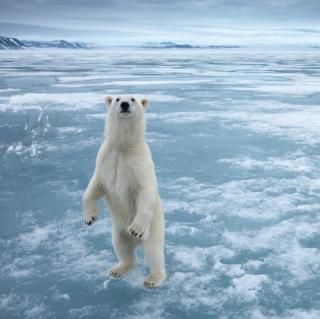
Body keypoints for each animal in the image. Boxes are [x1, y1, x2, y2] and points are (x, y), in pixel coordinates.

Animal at [82, 96, 166, 288]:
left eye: (133, 99)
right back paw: (118, 269)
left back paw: (153, 278)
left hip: (154, 226)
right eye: (117, 98)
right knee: (121, 246)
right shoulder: (106, 159)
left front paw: (135, 228)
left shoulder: (139, 164)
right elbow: (95, 185)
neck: (123, 146)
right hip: (118, 229)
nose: (124, 105)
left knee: (153, 251)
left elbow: (145, 191)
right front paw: (90, 217)